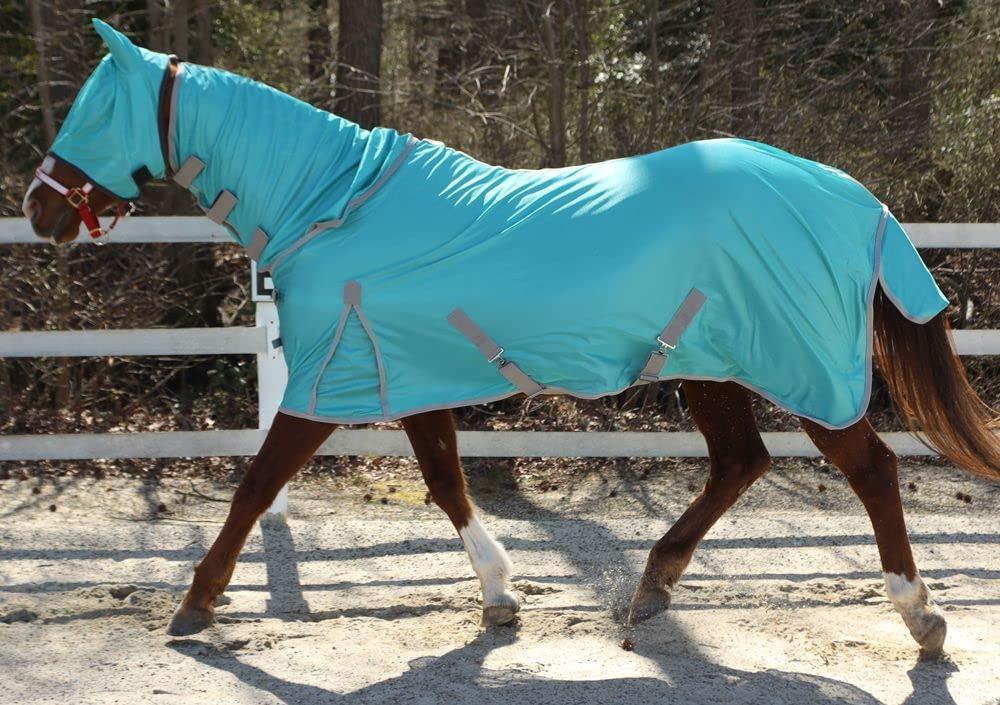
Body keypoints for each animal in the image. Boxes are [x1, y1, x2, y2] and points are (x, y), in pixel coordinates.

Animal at [22, 20, 998, 659]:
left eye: (93, 113)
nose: (38, 209)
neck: (335, 205)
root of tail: (853, 195)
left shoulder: (327, 381)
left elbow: (257, 482)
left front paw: (196, 602)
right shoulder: (405, 373)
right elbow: (446, 481)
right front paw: (499, 597)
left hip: (798, 369)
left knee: (871, 468)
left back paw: (920, 616)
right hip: (710, 362)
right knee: (739, 462)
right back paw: (651, 587)